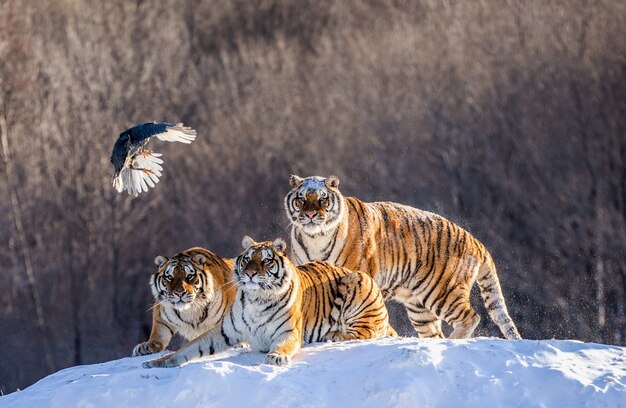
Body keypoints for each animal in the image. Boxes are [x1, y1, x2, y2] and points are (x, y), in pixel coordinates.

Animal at [144, 234, 392, 368]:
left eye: (266, 261)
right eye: (247, 259)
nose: (250, 274)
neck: (257, 299)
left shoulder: (288, 332)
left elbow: (283, 346)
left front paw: (275, 357)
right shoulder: (223, 331)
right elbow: (187, 348)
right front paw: (157, 362)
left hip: (358, 281)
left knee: (367, 331)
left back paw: (334, 335)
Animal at [282, 174, 516, 340]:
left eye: (323, 199)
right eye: (301, 199)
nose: (310, 215)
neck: (315, 238)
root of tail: (474, 240)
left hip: (442, 291)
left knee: (471, 317)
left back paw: (454, 339)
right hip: (419, 307)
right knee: (435, 332)